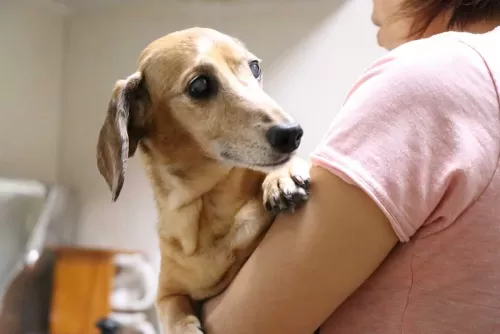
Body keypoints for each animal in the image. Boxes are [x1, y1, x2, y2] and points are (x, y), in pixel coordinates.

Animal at [95, 27, 310, 332]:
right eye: (199, 86)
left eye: (254, 67)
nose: (292, 133)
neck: (207, 209)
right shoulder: (166, 293)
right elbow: (173, 313)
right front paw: (185, 326)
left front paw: (282, 177)